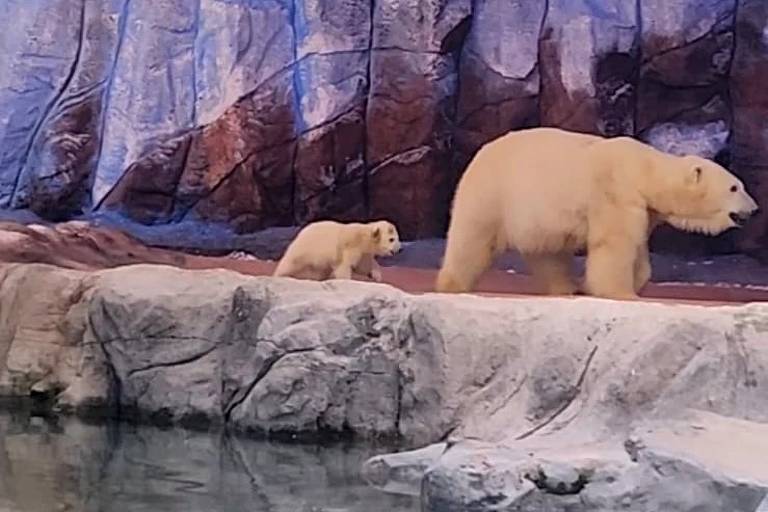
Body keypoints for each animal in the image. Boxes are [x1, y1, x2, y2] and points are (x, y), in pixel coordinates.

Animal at [436, 127, 760, 300]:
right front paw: (621, 293)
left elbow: (638, 250)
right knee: (471, 239)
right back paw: (451, 285)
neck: (644, 168)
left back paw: (567, 287)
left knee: (548, 255)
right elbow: (615, 244)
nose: (755, 209)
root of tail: (479, 155)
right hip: (493, 194)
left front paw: (620, 284)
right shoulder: (616, 192)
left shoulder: (643, 208)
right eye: (734, 187)